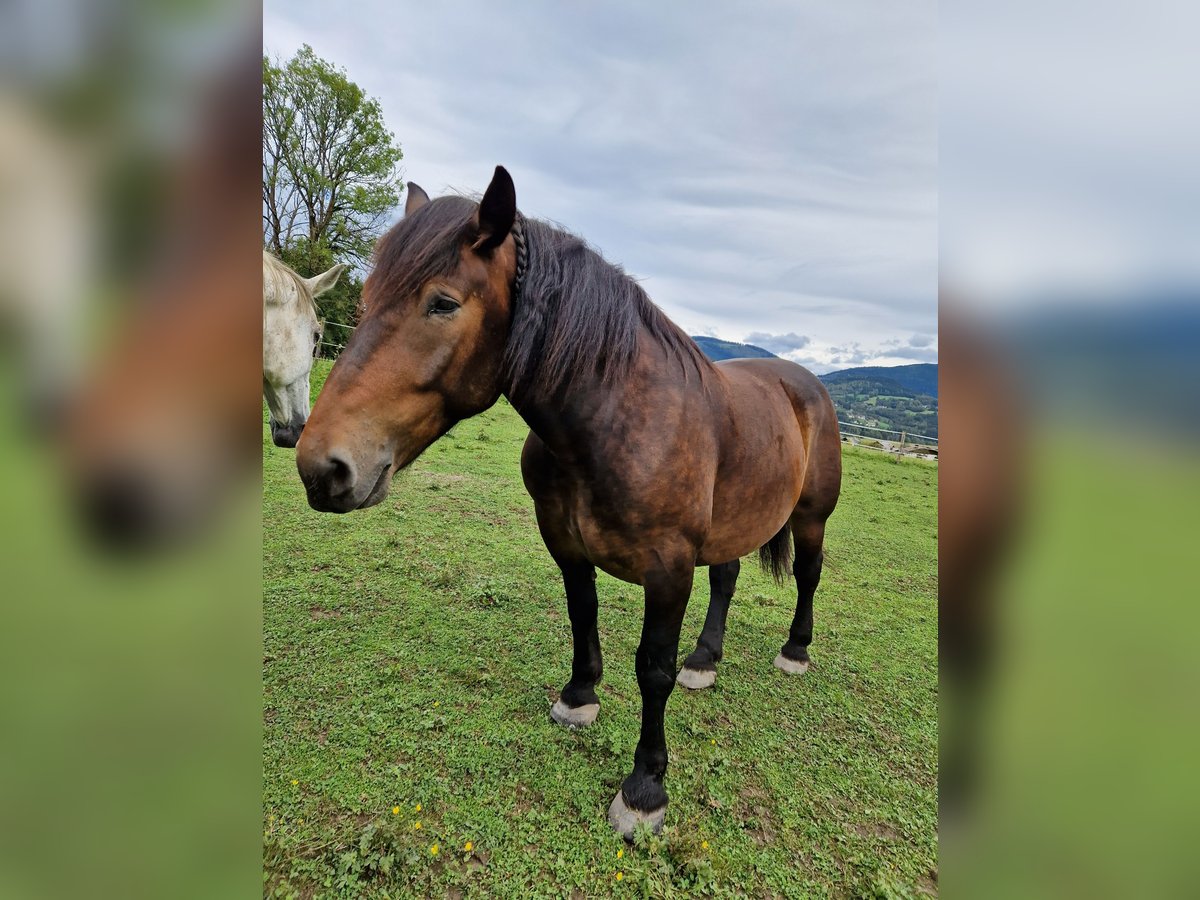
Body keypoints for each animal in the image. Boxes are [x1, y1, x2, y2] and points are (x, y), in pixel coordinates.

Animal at [294, 168, 840, 840]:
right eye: (365, 299)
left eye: (442, 303)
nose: (321, 468)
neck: (617, 422)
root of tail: (804, 382)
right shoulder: (564, 538)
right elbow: (583, 615)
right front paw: (579, 698)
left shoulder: (669, 566)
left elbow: (653, 668)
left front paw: (645, 788)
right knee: (728, 578)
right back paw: (705, 660)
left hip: (811, 517)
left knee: (808, 576)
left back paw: (795, 651)